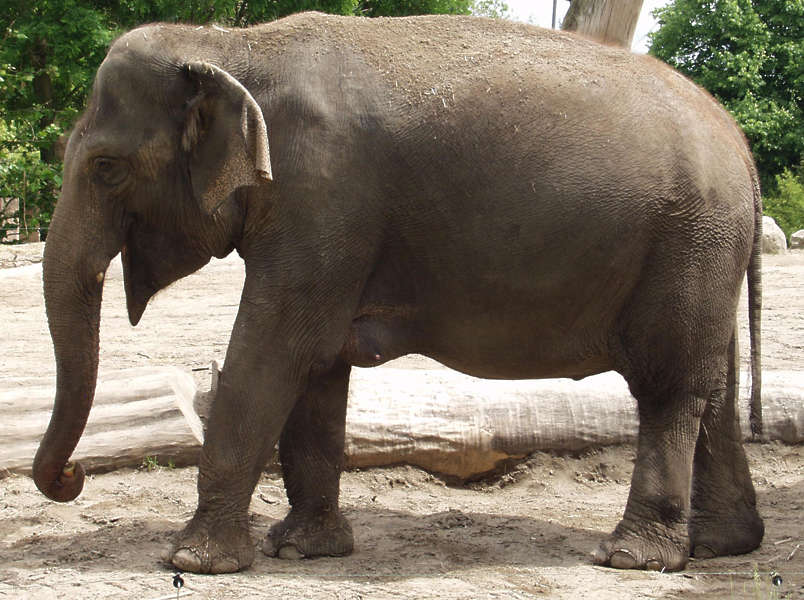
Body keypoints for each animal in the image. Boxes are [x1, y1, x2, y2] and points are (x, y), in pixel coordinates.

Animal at [34, 12, 764, 574]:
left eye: (106, 168)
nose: (72, 478)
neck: (231, 46)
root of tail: (744, 148)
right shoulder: (322, 221)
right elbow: (320, 364)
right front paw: (301, 550)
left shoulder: (322, 197)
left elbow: (274, 351)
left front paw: (193, 560)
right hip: (704, 251)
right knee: (716, 387)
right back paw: (722, 546)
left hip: (688, 240)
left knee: (670, 386)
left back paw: (632, 558)